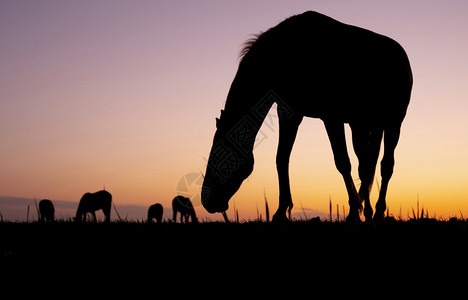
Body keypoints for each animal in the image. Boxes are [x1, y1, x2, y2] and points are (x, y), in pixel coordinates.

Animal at [201, 11, 414, 223]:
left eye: (220, 155)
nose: (207, 202)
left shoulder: (332, 118)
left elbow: (342, 162)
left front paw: (354, 209)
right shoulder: (290, 113)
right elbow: (282, 157)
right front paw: (281, 211)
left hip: (393, 123)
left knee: (385, 166)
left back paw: (377, 211)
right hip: (363, 125)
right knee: (367, 164)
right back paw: (368, 211)